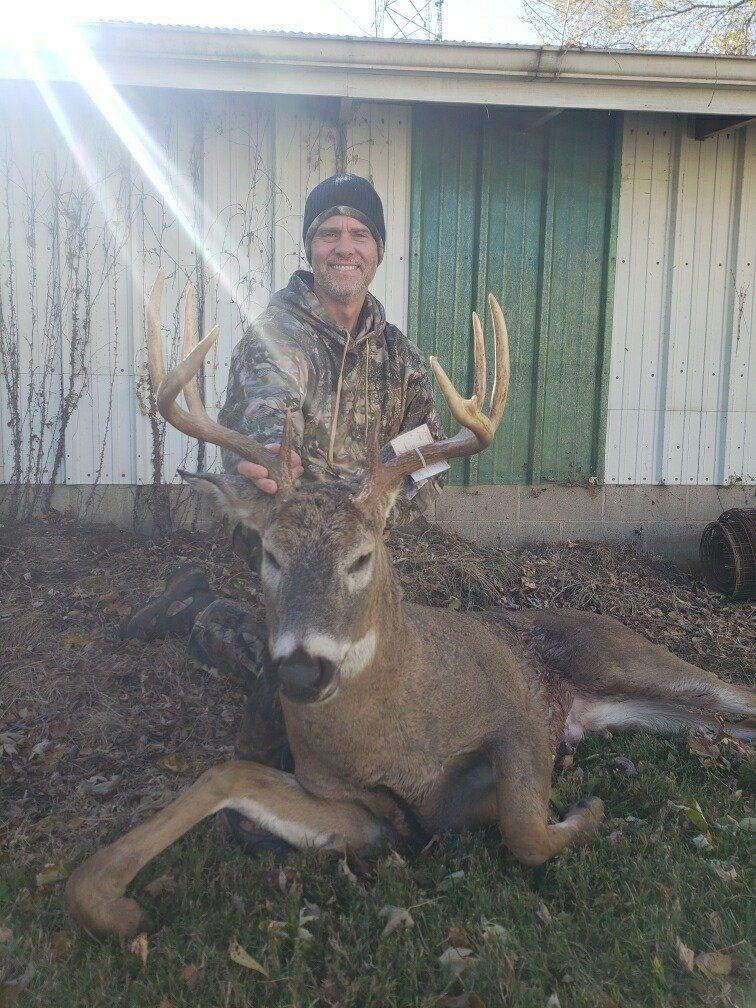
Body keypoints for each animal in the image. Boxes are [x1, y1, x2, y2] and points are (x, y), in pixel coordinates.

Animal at [67, 271, 755, 939]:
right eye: (269, 555)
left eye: (363, 556)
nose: (301, 671)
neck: (389, 732)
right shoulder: (361, 810)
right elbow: (227, 776)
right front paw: (111, 902)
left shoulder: (519, 718)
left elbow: (525, 830)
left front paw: (587, 810)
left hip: (628, 657)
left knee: (735, 697)